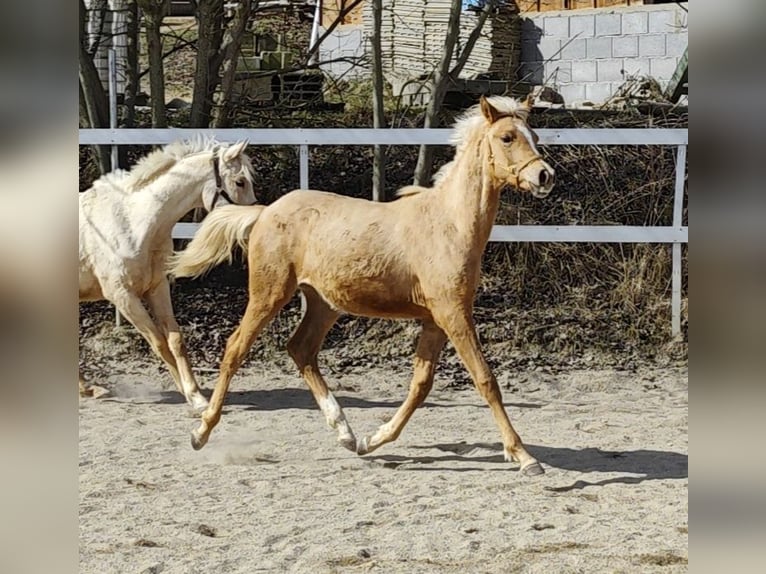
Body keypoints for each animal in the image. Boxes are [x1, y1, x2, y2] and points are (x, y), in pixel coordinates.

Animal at [80, 137, 256, 412]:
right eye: (240, 182)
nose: (252, 228)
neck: (133, 224)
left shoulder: (157, 287)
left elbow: (175, 340)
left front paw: (196, 394)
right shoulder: (123, 296)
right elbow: (158, 342)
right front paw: (190, 397)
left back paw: (89, 389)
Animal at [171, 98, 556, 476]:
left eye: (534, 135)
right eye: (507, 137)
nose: (545, 175)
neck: (449, 224)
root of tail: (265, 212)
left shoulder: (436, 319)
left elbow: (421, 384)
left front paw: (373, 441)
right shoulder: (453, 314)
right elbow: (485, 379)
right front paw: (524, 456)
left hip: (324, 303)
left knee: (300, 349)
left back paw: (346, 433)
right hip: (269, 293)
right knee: (236, 348)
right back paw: (200, 431)